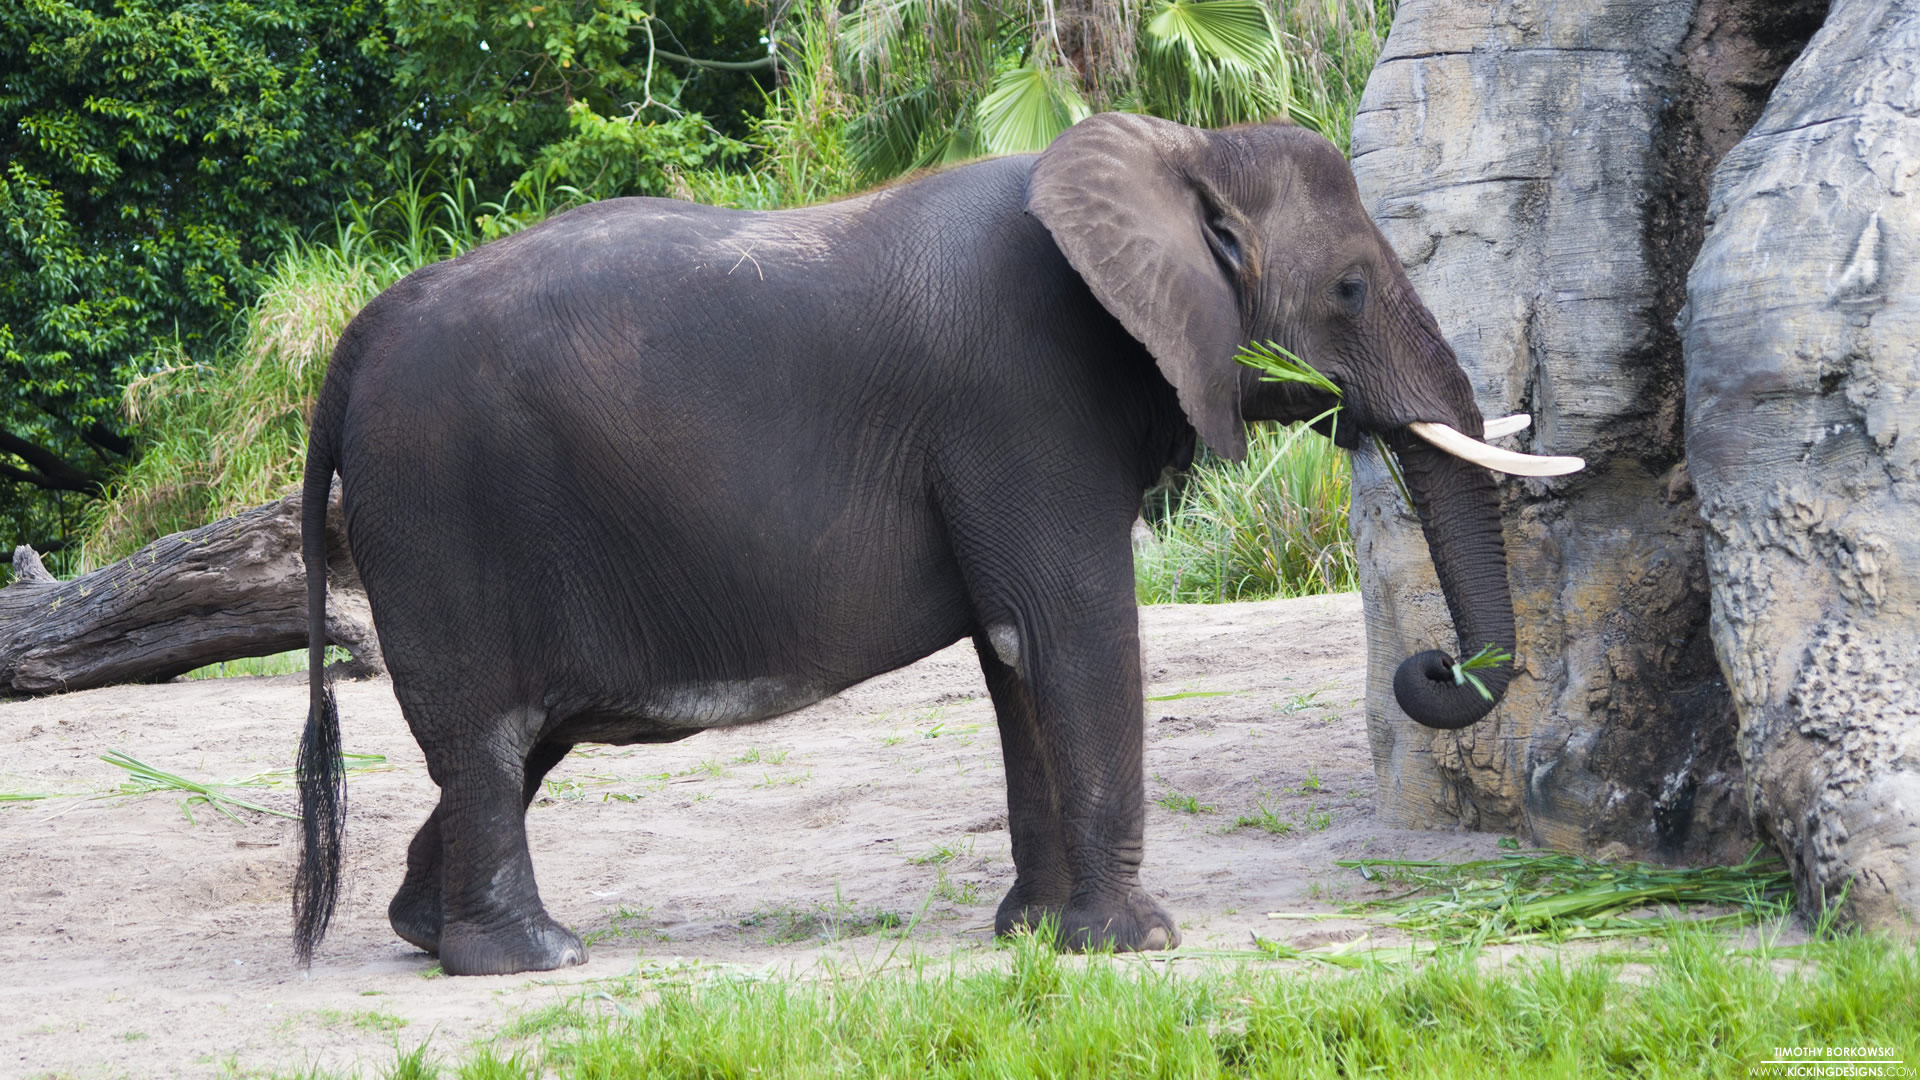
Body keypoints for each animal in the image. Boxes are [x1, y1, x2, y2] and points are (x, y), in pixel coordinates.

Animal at [293, 112, 1581, 976]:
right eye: (1353, 289)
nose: (1433, 666)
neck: (1177, 153)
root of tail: (350, 347)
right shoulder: (1020, 393)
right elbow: (1069, 630)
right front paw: (1137, 944)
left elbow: (1018, 655)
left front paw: (1037, 938)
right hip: (440, 507)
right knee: (487, 737)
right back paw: (532, 958)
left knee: (516, 746)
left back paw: (428, 933)